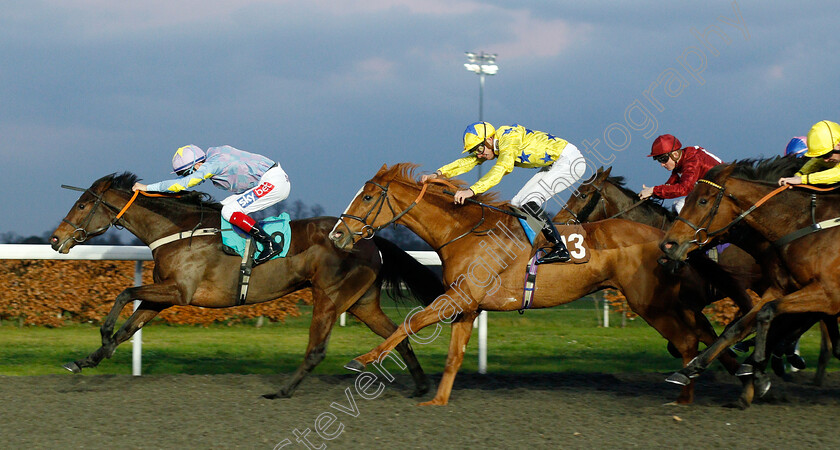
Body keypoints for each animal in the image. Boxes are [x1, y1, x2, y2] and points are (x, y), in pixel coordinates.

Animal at [50, 171, 446, 398]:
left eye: (83, 204)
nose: (55, 239)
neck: (178, 230)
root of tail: (367, 239)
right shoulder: (165, 296)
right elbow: (129, 327)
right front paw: (88, 359)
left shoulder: (180, 292)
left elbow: (123, 294)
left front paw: (102, 338)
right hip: (362, 302)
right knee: (398, 335)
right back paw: (422, 386)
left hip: (330, 297)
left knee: (318, 349)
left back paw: (283, 391)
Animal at [328, 163, 740, 406]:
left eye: (368, 196)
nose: (337, 235)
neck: (463, 231)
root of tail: (664, 237)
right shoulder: (467, 304)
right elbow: (453, 356)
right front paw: (438, 401)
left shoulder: (458, 297)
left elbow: (409, 323)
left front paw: (363, 359)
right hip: (664, 300)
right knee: (699, 334)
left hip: (648, 302)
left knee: (688, 340)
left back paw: (686, 397)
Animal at [660, 156, 840, 406]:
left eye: (703, 201)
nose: (668, 245)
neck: (805, 224)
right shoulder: (782, 287)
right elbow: (739, 325)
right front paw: (691, 369)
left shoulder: (829, 295)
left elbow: (767, 313)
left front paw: (757, 368)